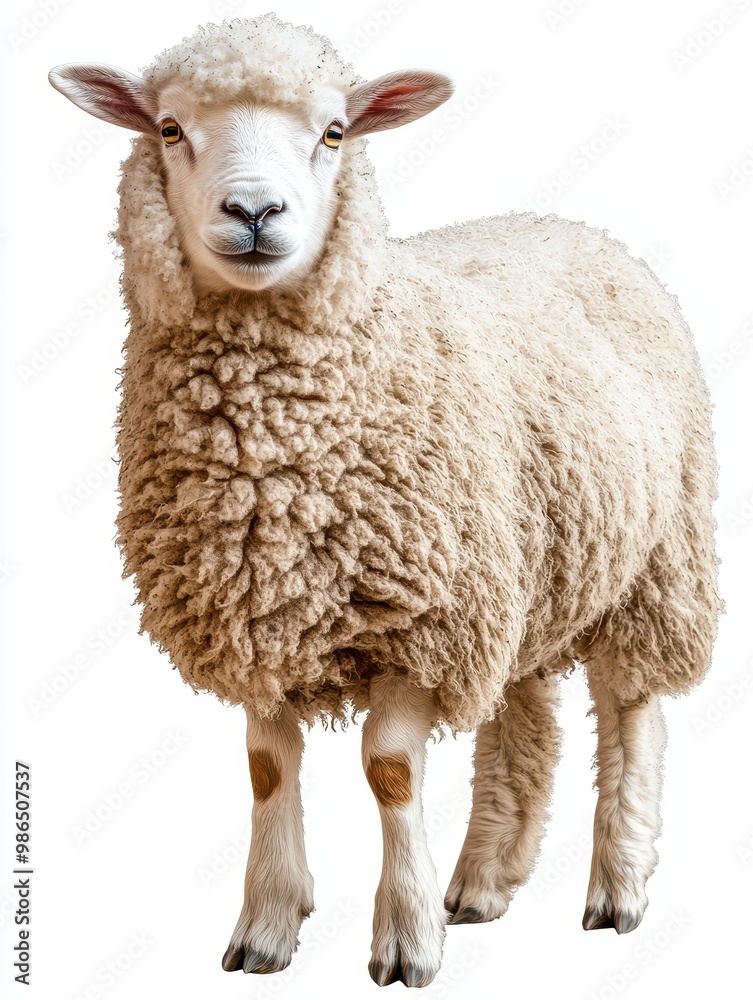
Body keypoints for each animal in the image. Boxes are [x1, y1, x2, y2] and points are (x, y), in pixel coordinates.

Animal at [49, 13, 721, 988]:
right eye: (170, 129)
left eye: (334, 133)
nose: (254, 214)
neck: (272, 466)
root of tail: (564, 223)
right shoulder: (262, 614)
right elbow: (265, 767)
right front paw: (266, 928)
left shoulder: (421, 619)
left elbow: (390, 771)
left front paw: (406, 939)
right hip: (521, 568)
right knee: (522, 717)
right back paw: (481, 882)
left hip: (653, 561)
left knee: (631, 714)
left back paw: (617, 887)